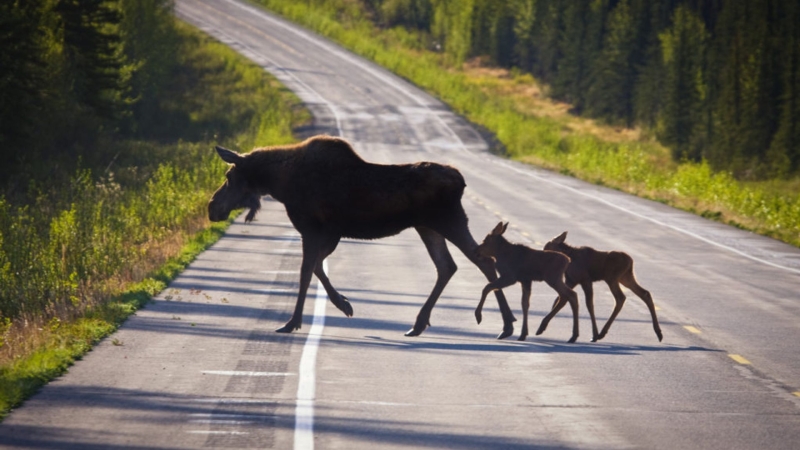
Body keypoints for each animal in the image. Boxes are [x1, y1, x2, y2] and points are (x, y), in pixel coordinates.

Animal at [209, 135, 516, 340]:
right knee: (448, 266)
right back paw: (420, 324)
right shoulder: (328, 233)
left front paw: (293, 321)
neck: (279, 184)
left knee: (482, 261)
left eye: (229, 176)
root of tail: (462, 181)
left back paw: (507, 324)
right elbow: (316, 268)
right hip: (428, 226)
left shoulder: (315, 229)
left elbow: (306, 271)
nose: (212, 207)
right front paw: (344, 303)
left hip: (448, 221)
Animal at [536, 232, 664, 342]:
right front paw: (543, 326)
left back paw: (602, 333)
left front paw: (594, 334)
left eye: (547, 247)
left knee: (620, 297)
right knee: (644, 293)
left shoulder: (585, 280)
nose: (543, 256)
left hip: (612, 278)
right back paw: (658, 333)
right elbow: (559, 299)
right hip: (626, 277)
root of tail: (631, 261)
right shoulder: (571, 280)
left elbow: (588, 304)